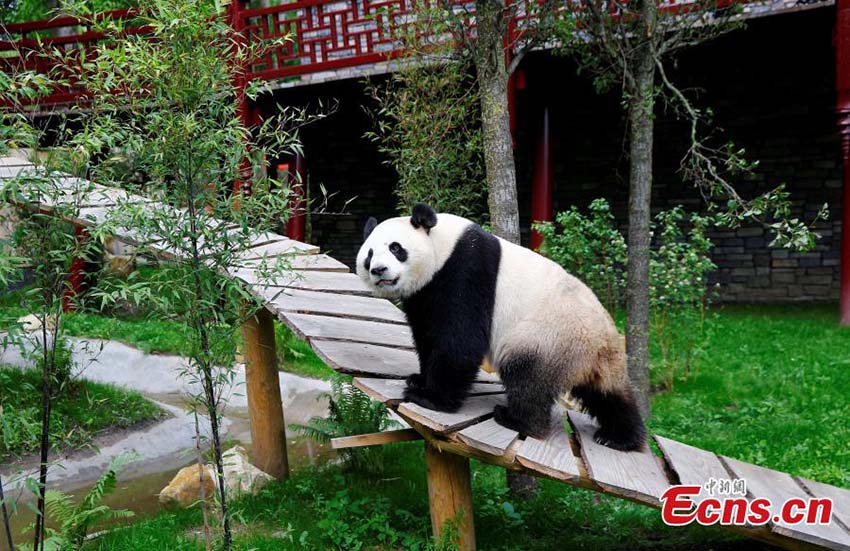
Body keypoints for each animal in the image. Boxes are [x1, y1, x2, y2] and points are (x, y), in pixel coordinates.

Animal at [356, 203, 646, 451]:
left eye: (396, 248)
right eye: (369, 255)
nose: (379, 270)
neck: (441, 245)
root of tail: (601, 341)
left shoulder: (466, 271)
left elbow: (460, 340)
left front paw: (430, 398)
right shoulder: (424, 294)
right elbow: (427, 333)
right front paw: (419, 379)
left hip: (547, 336)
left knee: (527, 377)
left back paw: (516, 419)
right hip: (594, 357)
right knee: (607, 394)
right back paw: (619, 437)